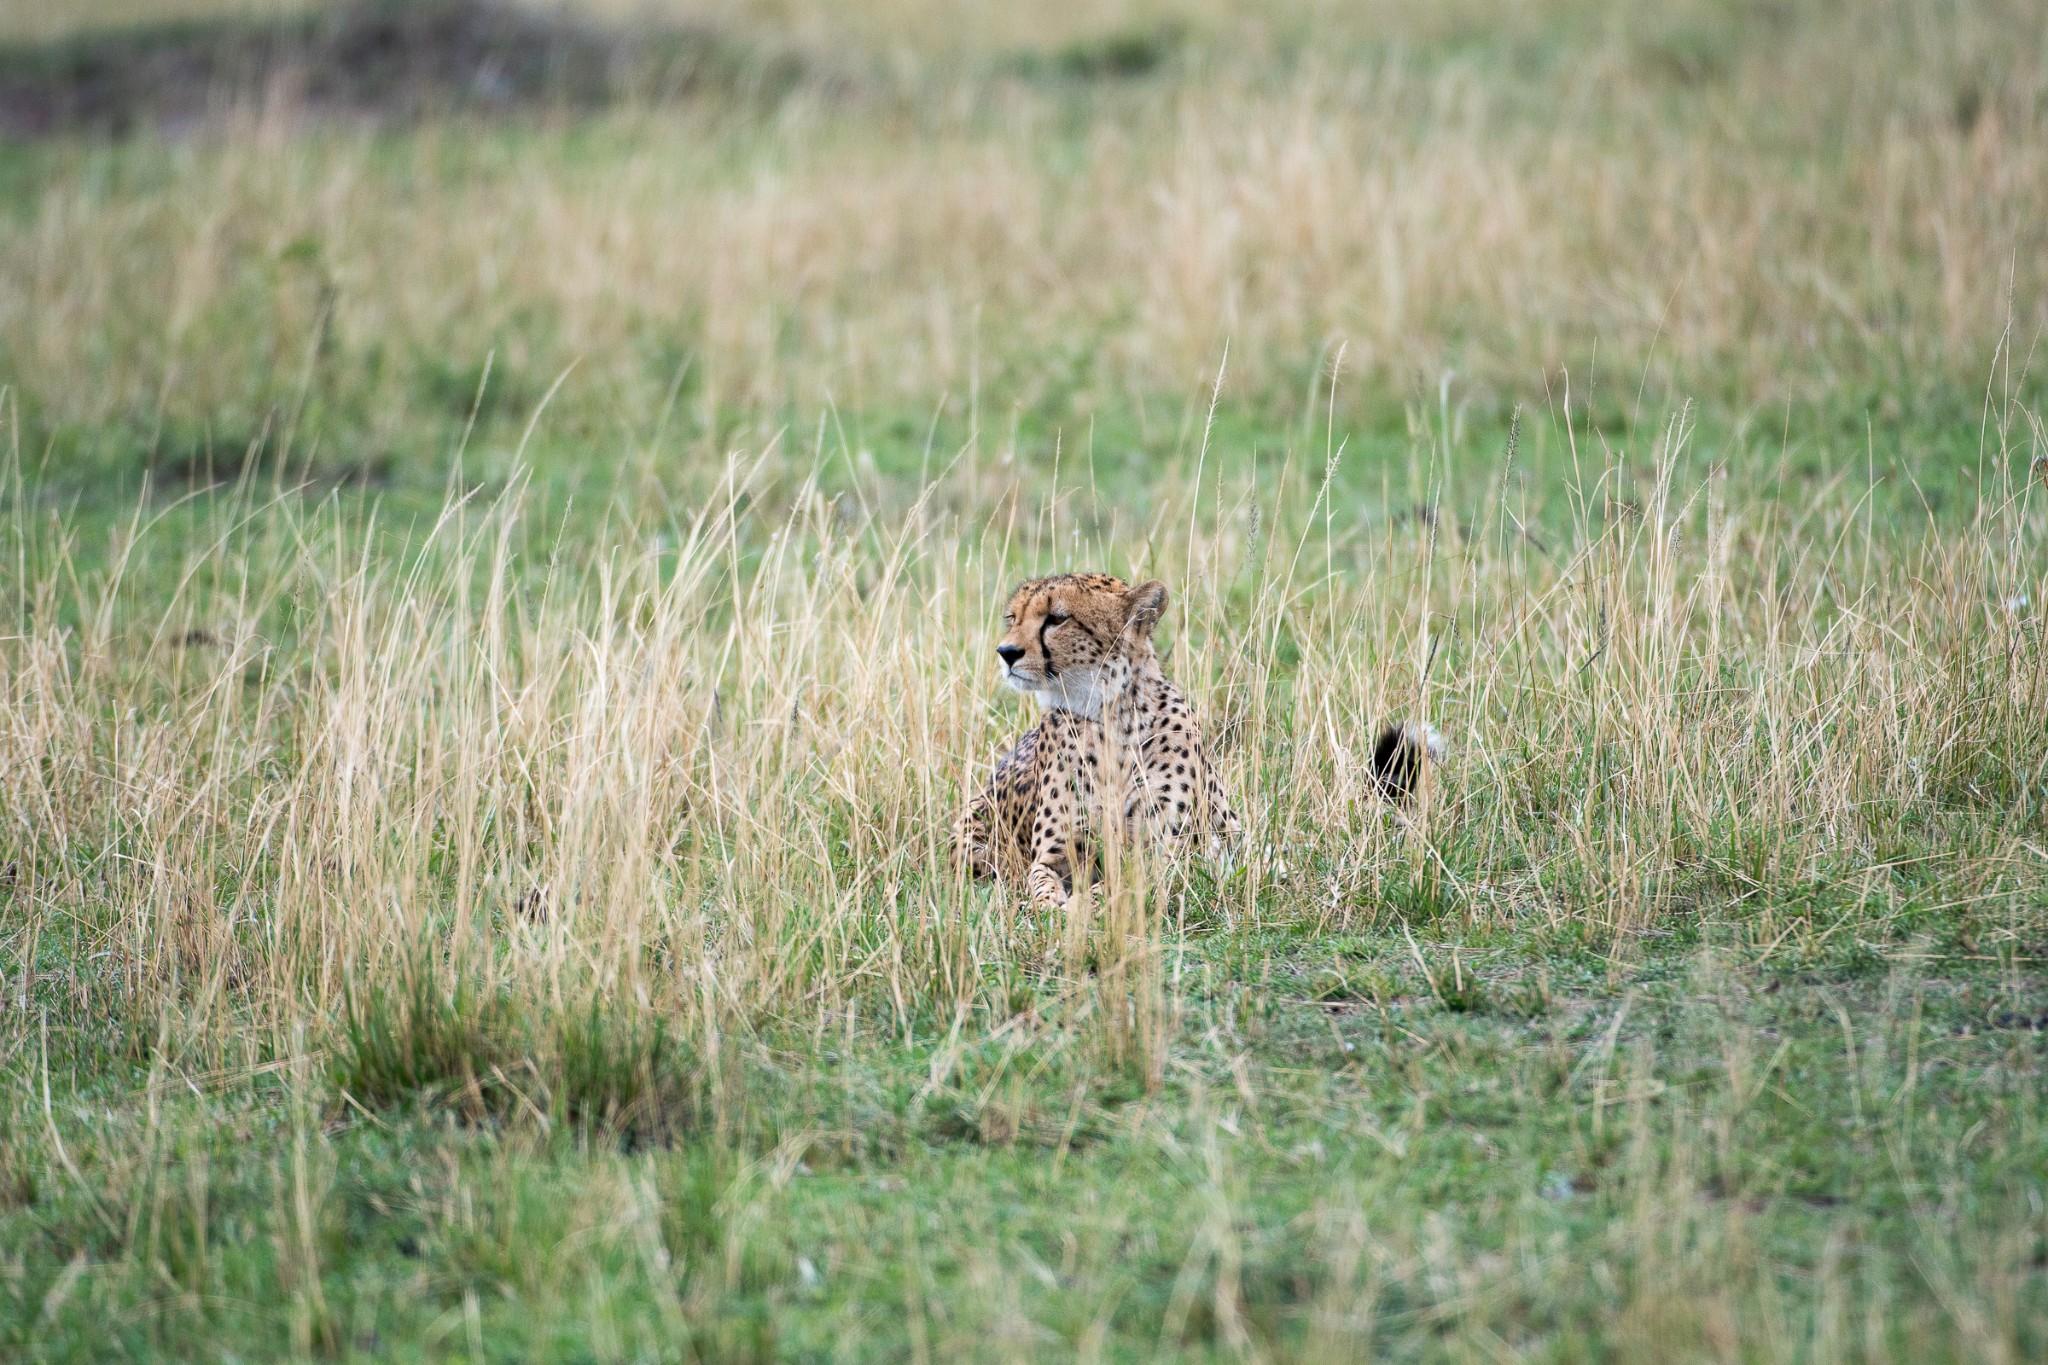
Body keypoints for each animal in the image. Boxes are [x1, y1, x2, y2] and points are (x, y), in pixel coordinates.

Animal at [950, 573, 1236, 908]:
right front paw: (1048, 907)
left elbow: (1118, 885)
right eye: (1013, 618)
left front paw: (1076, 907)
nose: (1006, 652)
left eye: (1057, 618)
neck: (1108, 715)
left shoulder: (1166, 849)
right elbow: (1041, 883)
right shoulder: (1053, 856)